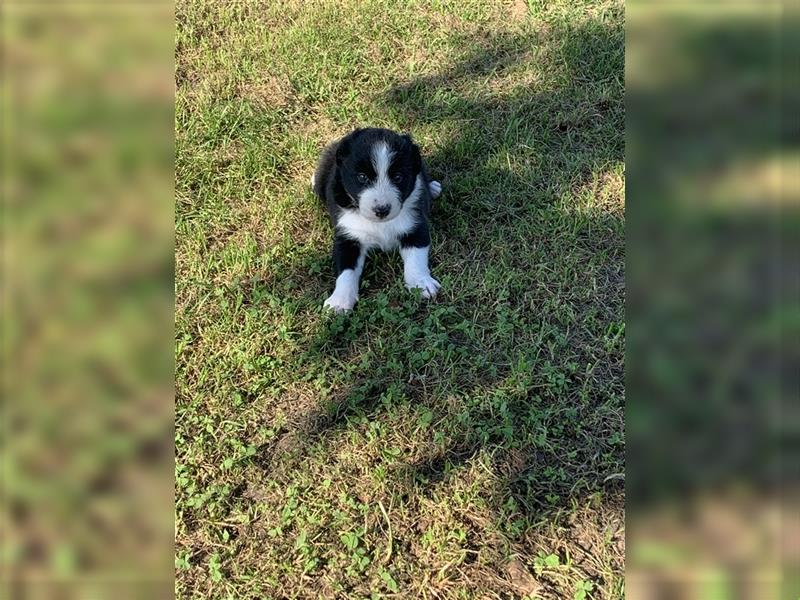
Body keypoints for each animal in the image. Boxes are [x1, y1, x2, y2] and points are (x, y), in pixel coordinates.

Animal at [310, 128, 444, 312]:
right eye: (362, 177)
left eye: (397, 177)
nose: (382, 210)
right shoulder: (348, 236)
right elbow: (346, 269)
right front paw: (340, 301)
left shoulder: (416, 226)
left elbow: (416, 259)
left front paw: (421, 283)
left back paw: (432, 187)